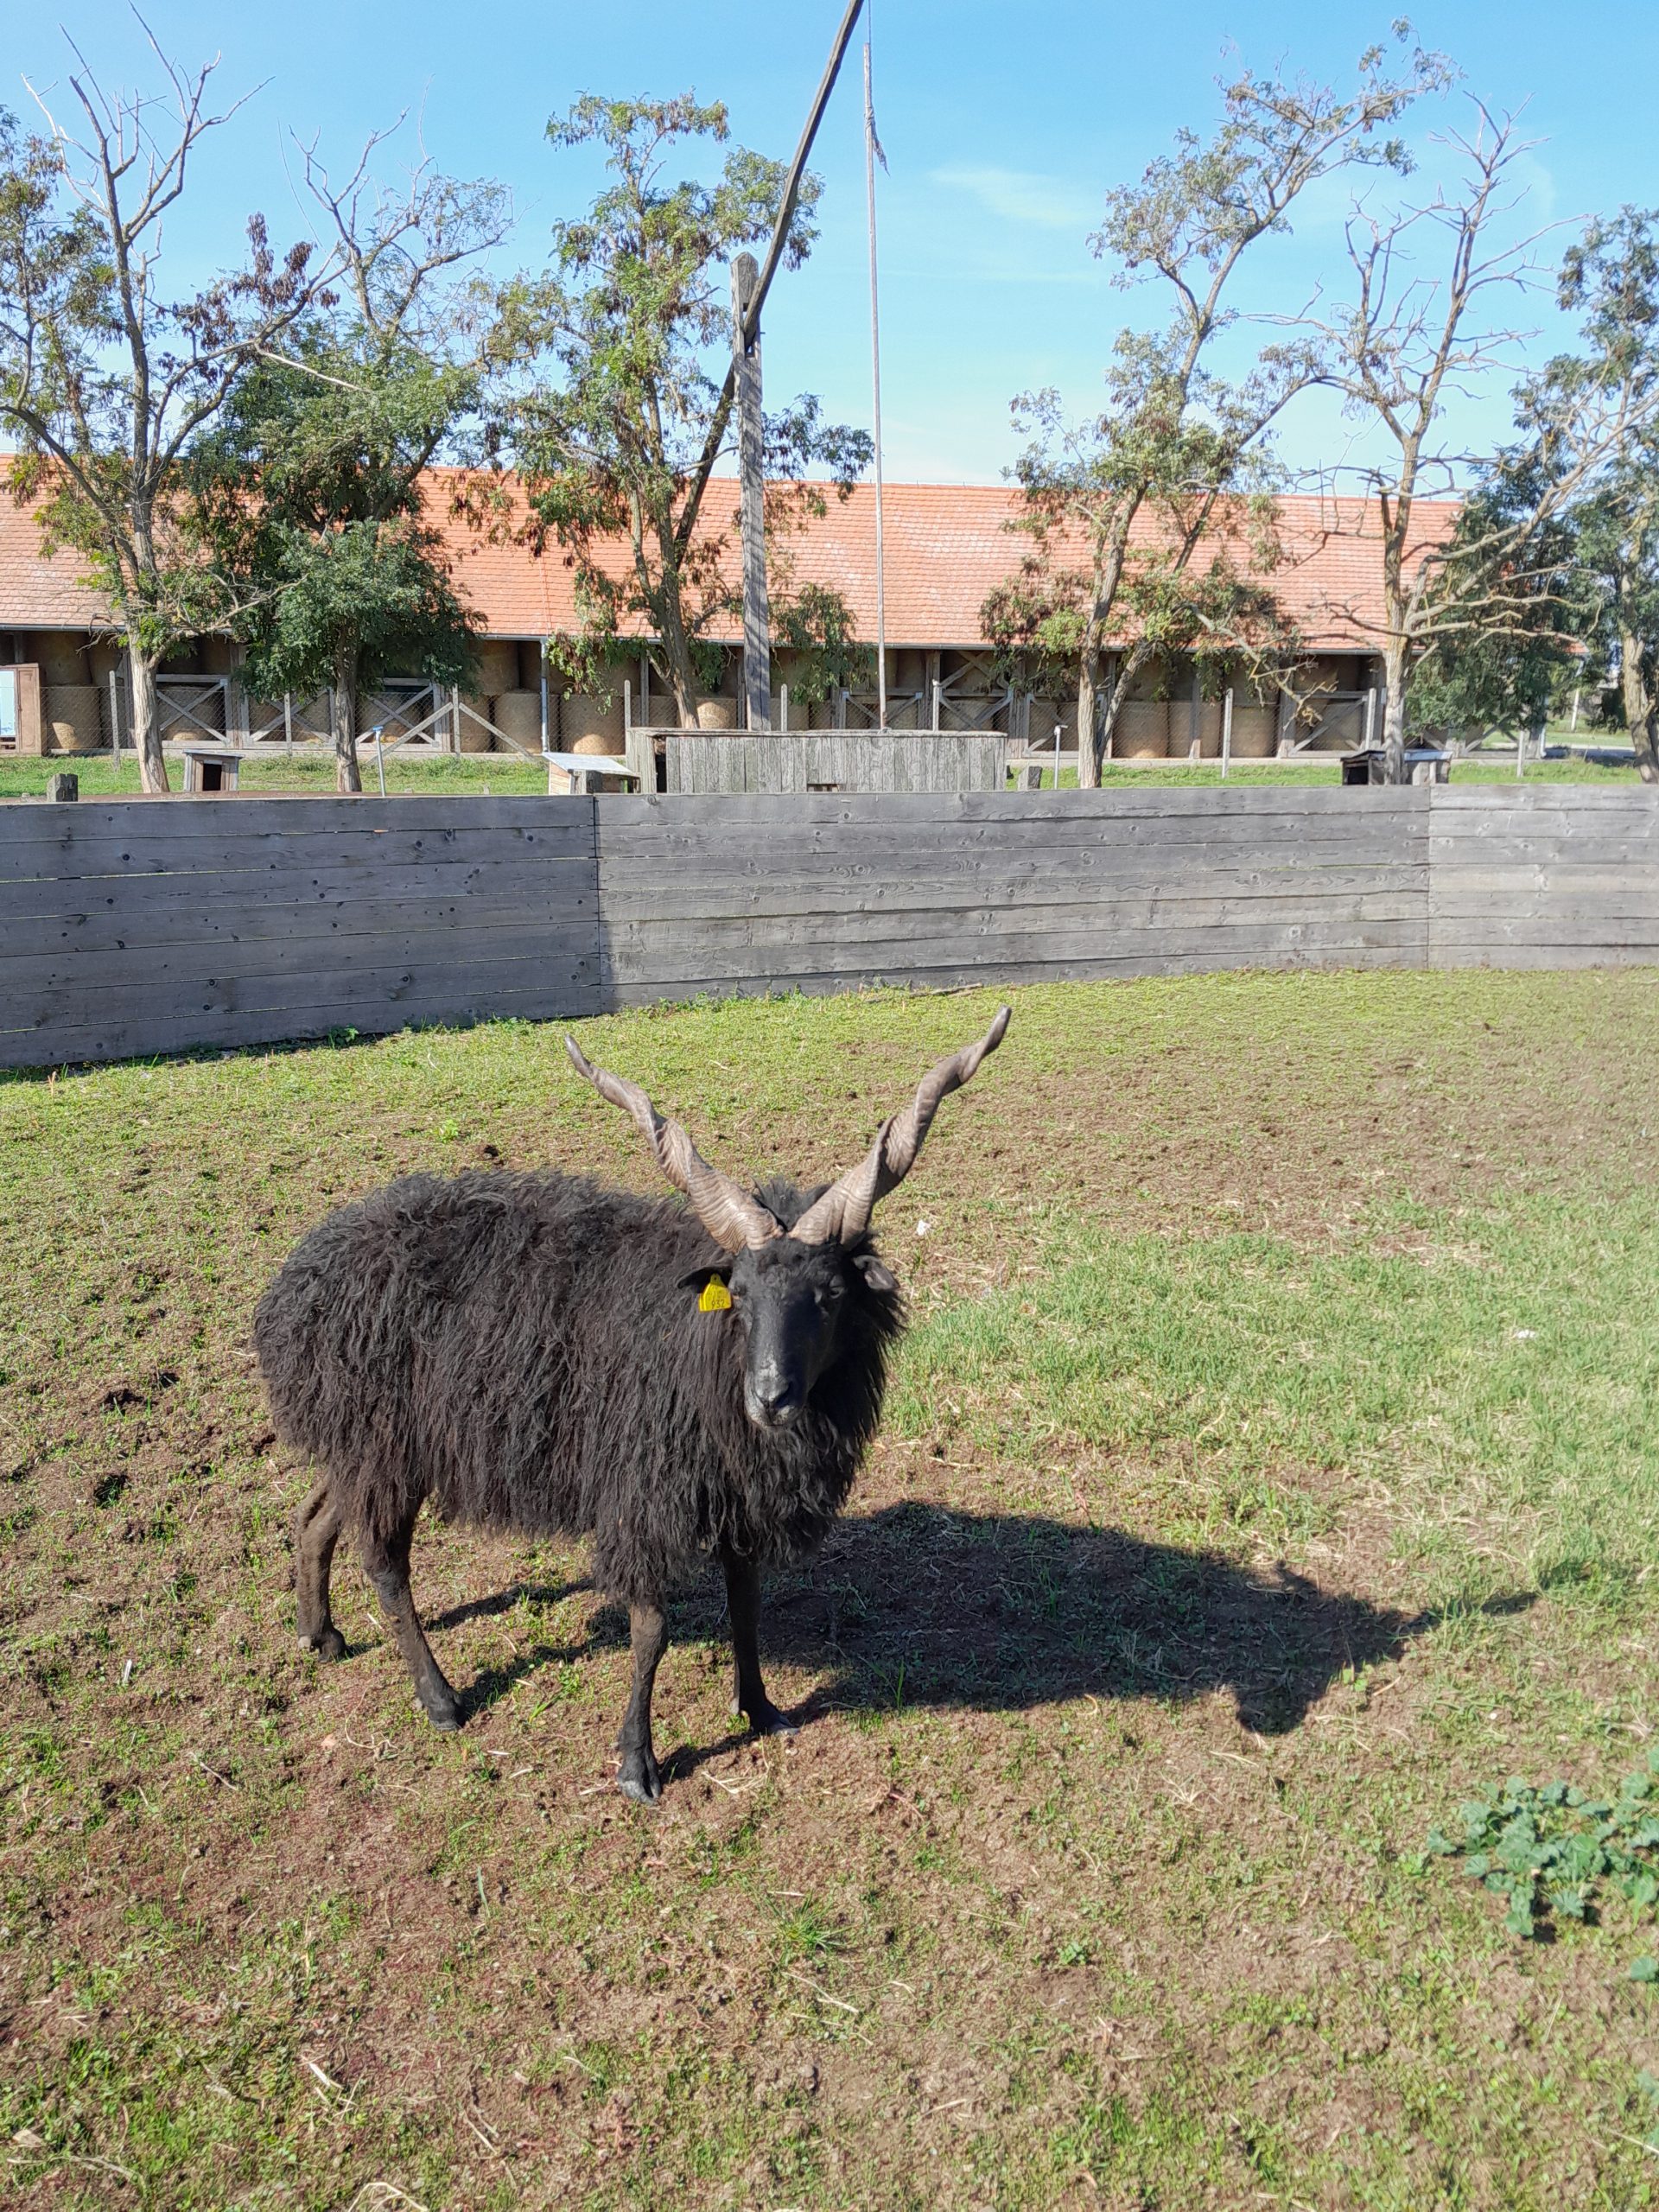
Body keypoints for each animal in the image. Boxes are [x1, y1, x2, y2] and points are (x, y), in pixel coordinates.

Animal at [251, 1004, 1008, 1796]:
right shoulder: (643, 1496)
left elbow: (747, 1605)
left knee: (314, 1517)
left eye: (831, 1295)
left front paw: (761, 1707)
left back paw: (320, 1635)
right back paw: (440, 1700)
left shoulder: (734, 1498)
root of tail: (295, 1283)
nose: (769, 1397)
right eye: (740, 1294)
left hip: (363, 1445)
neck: (701, 1347)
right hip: (386, 1446)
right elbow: (653, 1631)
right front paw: (637, 1762)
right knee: (386, 1565)